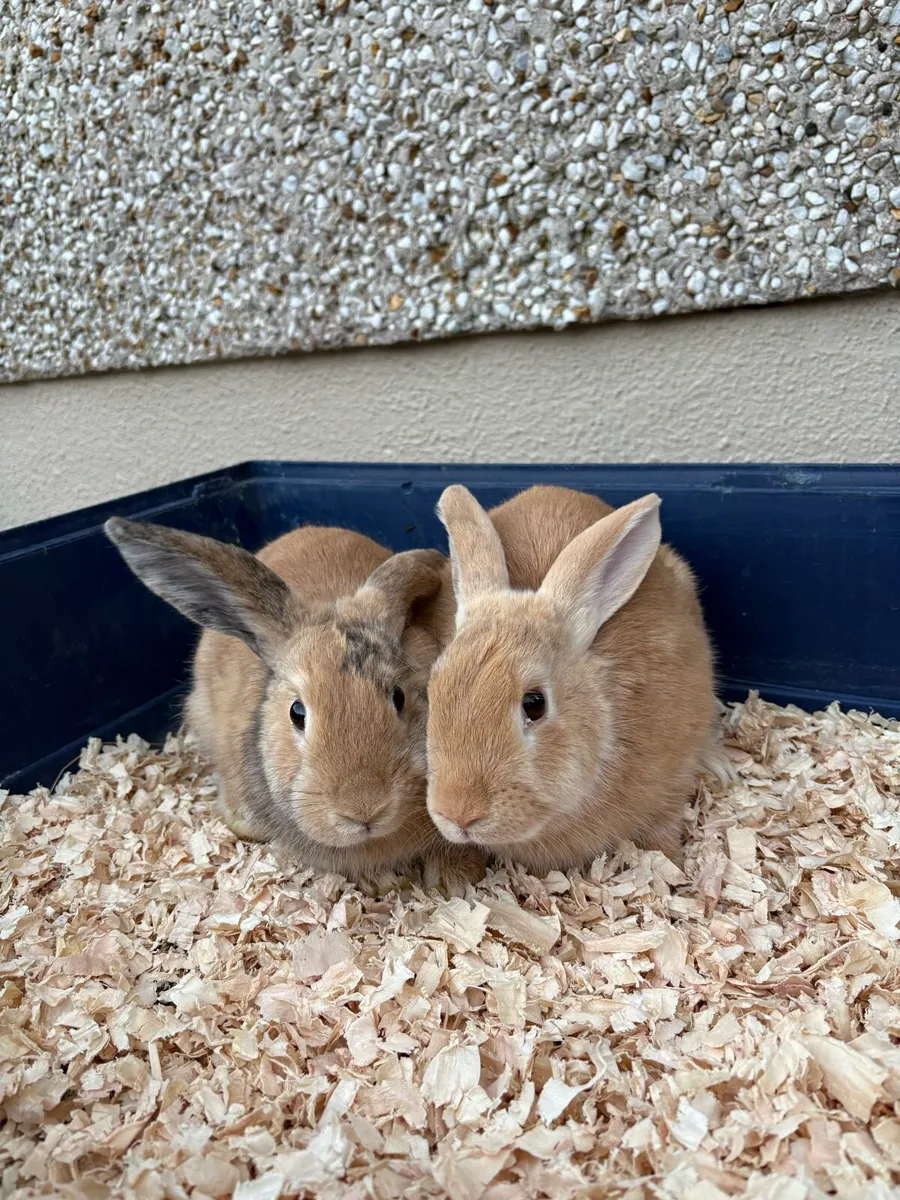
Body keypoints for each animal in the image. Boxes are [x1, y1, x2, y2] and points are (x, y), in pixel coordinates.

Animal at [424, 484, 717, 873]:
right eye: (432, 691)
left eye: (535, 704)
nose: (458, 814)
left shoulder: (672, 782)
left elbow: (663, 827)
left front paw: (673, 866)